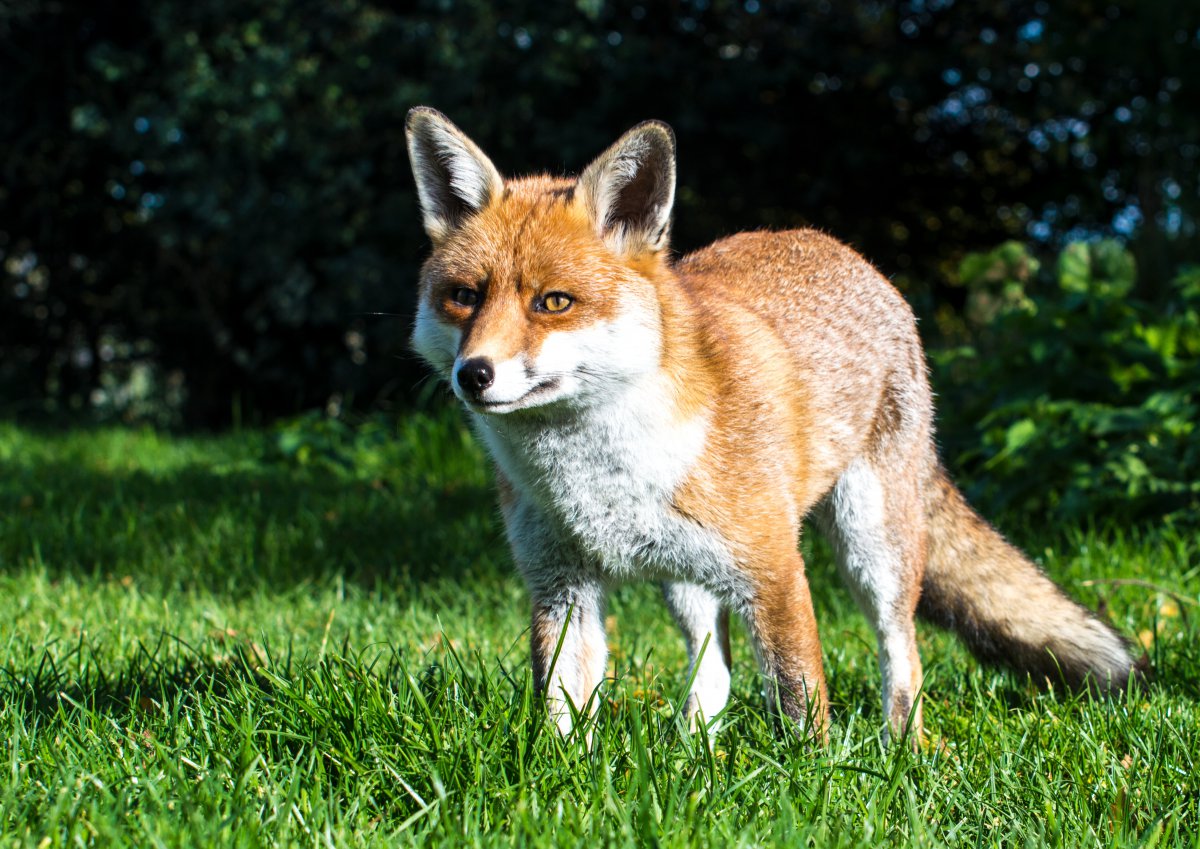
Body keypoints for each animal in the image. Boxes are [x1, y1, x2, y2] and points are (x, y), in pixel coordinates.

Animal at [400, 107, 1132, 743]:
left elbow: (800, 702)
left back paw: (903, 752)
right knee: (714, 674)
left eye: (553, 302)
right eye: (464, 296)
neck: (598, 479)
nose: (474, 374)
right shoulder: (561, 587)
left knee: (903, 654)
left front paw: (817, 783)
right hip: (686, 582)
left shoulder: (773, 568)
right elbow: (562, 721)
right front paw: (565, 789)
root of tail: (828, 243)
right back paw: (691, 759)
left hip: (871, 548)